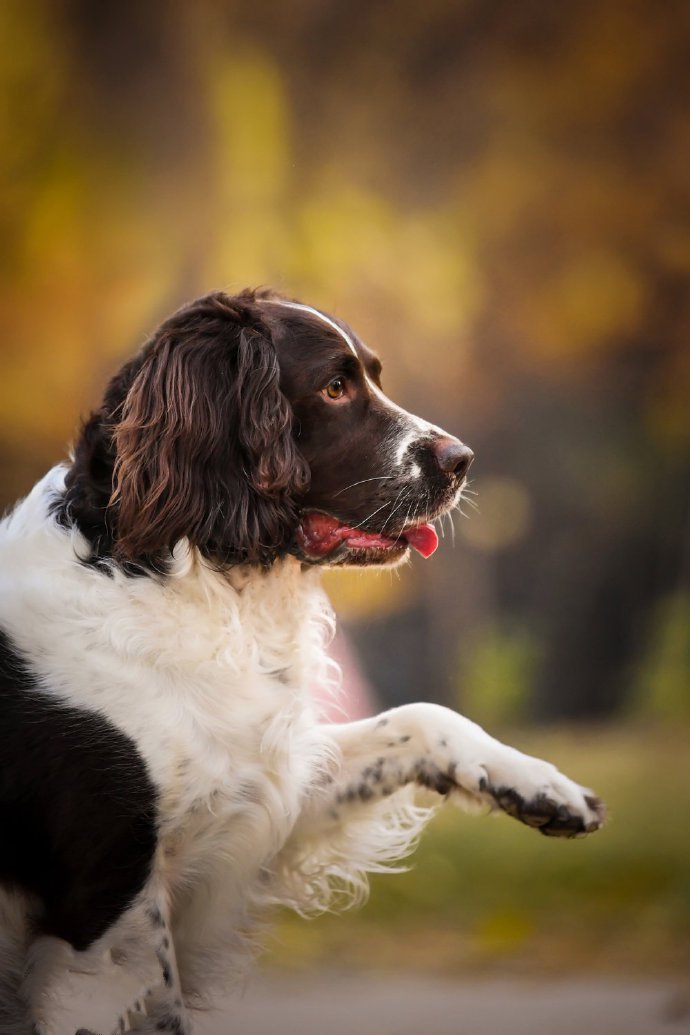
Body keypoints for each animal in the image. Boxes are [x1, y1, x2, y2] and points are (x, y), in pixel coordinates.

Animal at [0, 287, 604, 1030]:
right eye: (335, 387)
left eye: (374, 375)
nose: (463, 459)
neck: (190, 577)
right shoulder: (101, 918)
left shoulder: (263, 788)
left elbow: (420, 716)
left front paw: (541, 785)